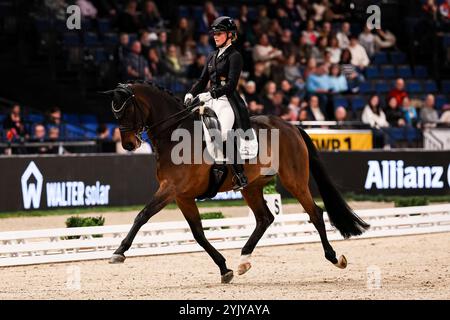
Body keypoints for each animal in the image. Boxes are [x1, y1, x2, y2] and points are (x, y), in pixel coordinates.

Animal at [102, 81, 370, 284]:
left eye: (125, 111)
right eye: (114, 113)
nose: (128, 145)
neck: (175, 135)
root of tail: (291, 126)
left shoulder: (170, 189)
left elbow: (142, 215)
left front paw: (119, 252)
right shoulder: (182, 196)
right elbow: (198, 233)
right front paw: (225, 269)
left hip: (294, 180)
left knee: (315, 213)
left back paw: (335, 258)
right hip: (251, 186)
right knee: (264, 218)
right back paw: (243, 262)